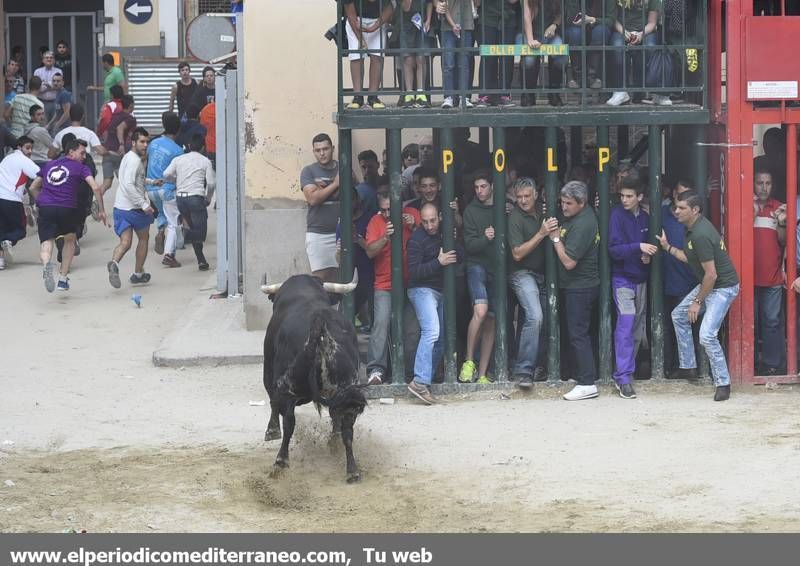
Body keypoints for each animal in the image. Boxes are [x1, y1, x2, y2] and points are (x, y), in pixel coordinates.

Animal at [260, 276, 368, 484]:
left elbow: (274, 403)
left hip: (287, 386)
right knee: (346, 429)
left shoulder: (270, 371)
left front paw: (271, 431)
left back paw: (281, 461)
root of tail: (320, 328)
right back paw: (351, 469)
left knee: (289, 421)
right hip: (347, 391)